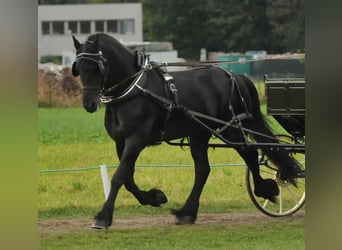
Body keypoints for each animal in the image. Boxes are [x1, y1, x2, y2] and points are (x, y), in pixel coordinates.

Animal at [71, 32, 300, 229]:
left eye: (98, 67)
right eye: (79, 68)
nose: (89, 103)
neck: (134, 89)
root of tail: (234, 75)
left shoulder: (136, 140)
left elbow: (119, 176)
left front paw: (103, 217)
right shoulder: (121, 141)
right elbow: (127, 177)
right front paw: (154, 197)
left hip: (230, 128)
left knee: (250, 155)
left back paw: (264, 189)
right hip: (200, 133)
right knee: (203, 169)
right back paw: (187, 212)